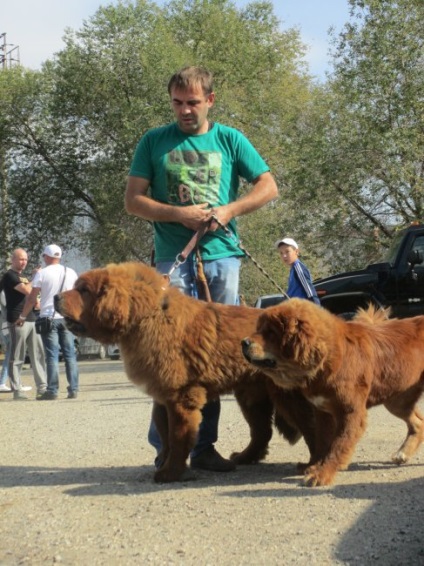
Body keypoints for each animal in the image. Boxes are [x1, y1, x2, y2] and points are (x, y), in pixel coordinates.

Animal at [54, 262, 314, 484]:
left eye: (84, 290)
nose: (56, 297)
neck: (147, 317)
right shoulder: (162, 398)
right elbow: (165, 437)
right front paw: (165, 465)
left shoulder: (180, 397)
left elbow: (178, 439)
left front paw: (170, 473)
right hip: (251, 397)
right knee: (262, 432)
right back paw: (244, 457)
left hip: (285, 397)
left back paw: (313, 465)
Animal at [242, 302, 424, 488]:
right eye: (259, 329)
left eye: (271, 332)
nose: (244, 342)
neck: (329, 358)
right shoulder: (322, 411)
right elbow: (322, 442)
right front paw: (313, 465)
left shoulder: (350, 412)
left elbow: (338, 445)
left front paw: (322, 473)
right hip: (396, 401)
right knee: (418, 422)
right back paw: (403, 453)